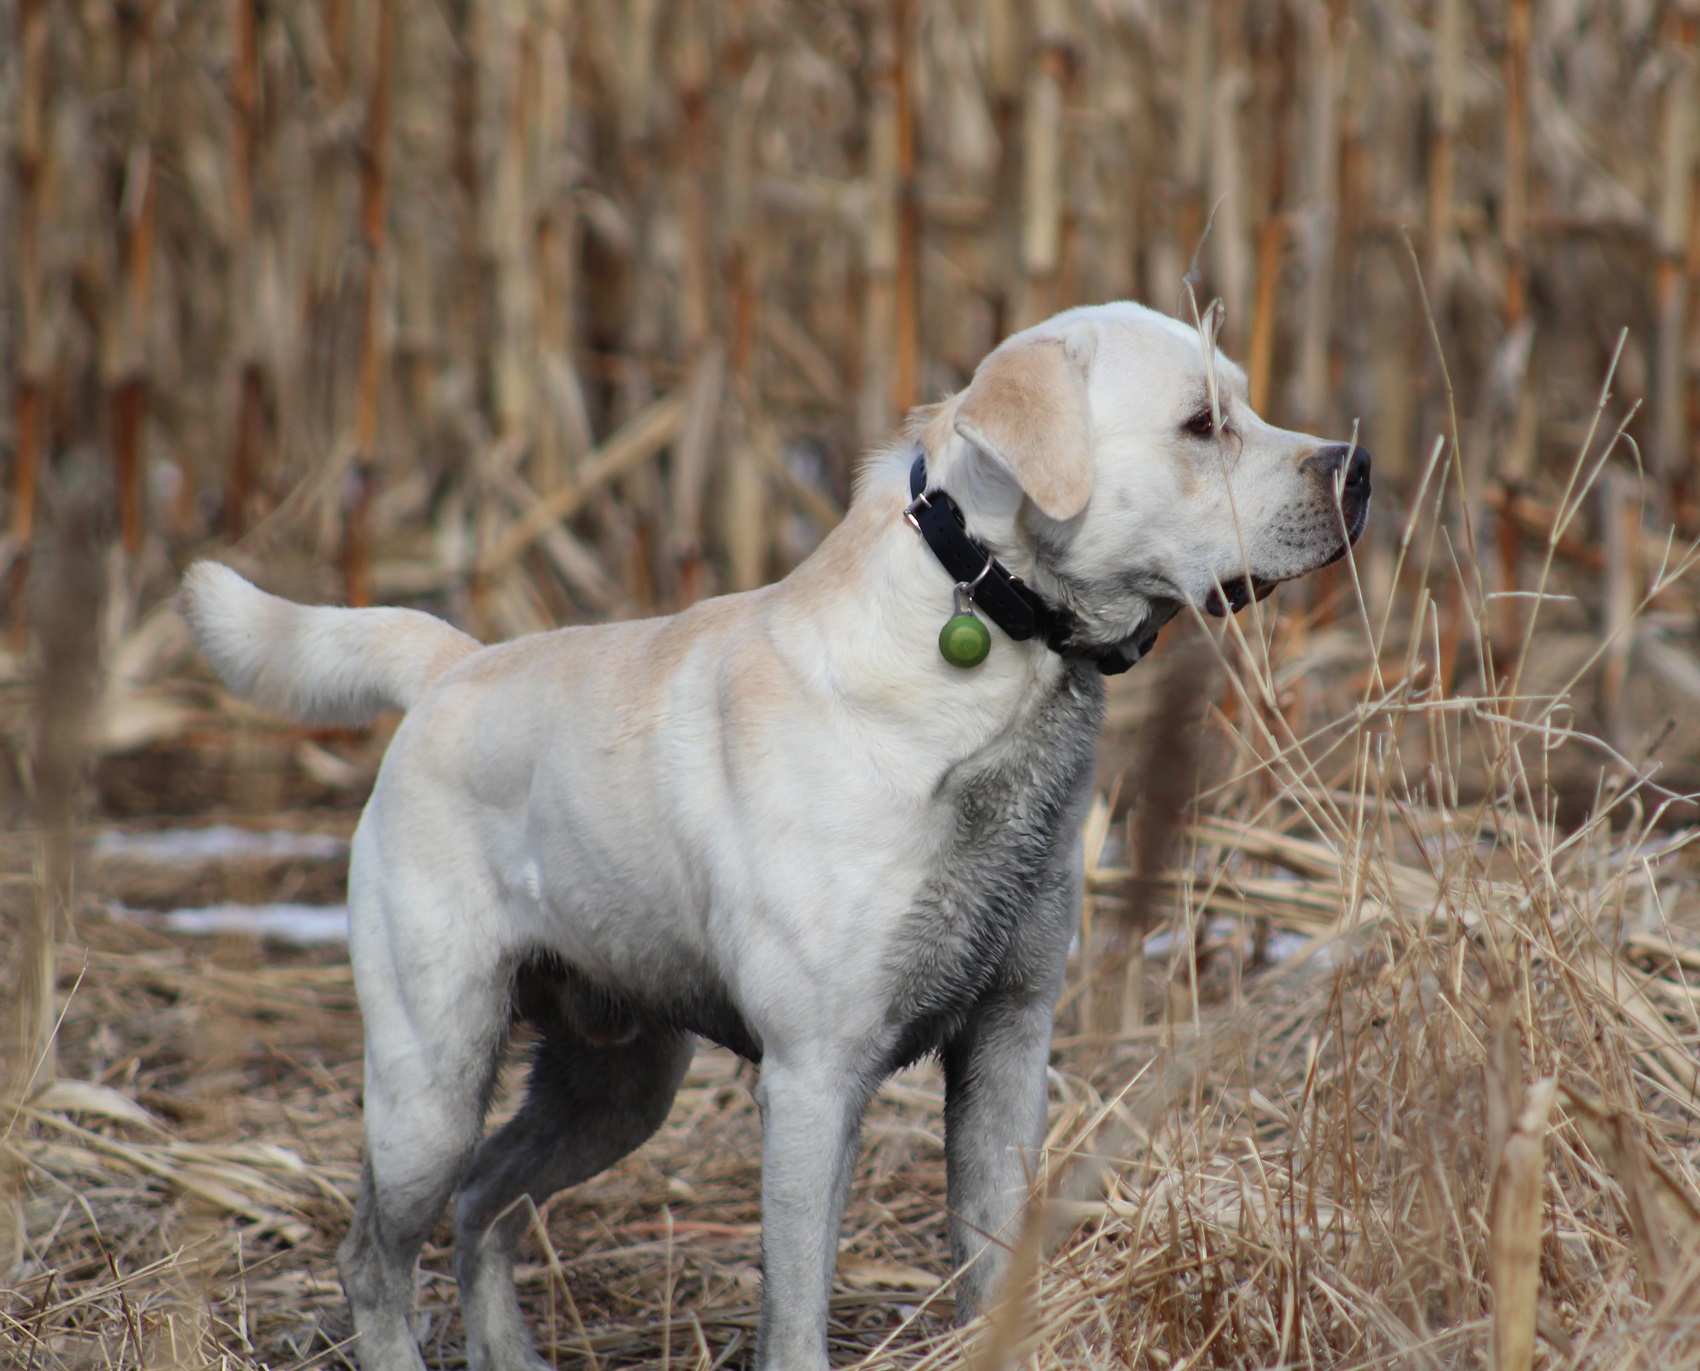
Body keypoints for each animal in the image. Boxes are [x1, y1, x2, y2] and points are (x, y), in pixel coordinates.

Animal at [179, 302, 1366, 1371]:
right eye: (1202, 423)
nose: (1357, 468)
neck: (989, 646)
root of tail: (448, 668)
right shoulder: (812, 1075)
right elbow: (795, 1315)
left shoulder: (1008, 1048)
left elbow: (991, 1269)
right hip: (430, 1076)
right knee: (377, 1257)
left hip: (616, 1083)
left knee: (486, 1205)